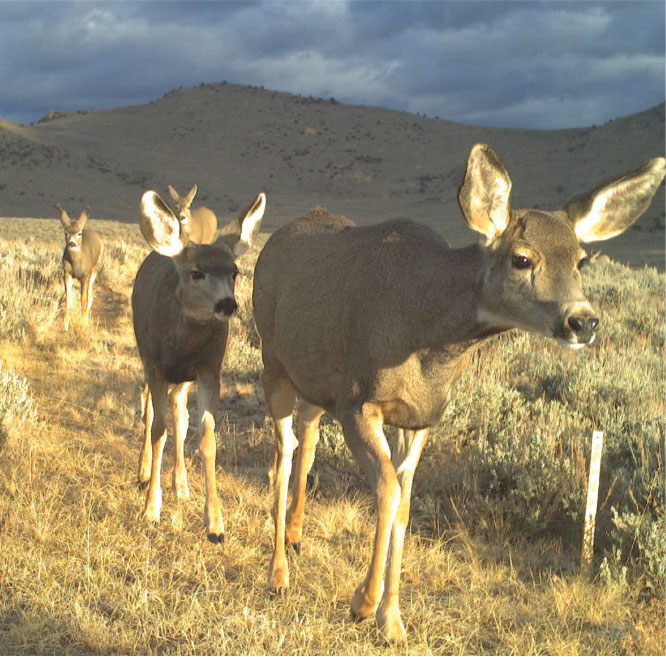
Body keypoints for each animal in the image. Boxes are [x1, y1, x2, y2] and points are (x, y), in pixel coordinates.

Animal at [56, 202, 103, 330]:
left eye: (79, 233)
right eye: (66, 232)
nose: (72, 243)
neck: (77, 265)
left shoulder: (85, 275)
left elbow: (83, 298)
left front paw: (82, 324)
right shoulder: (66, 273)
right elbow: (68, 298)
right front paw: (65, 325)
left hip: (95, 269)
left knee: (90, 294)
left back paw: (86, 319)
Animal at [132, 187, 264, 540]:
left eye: (234, 271)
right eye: (196, 272)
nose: (227, 304)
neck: (182, 347)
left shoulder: (208, 370)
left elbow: (206, 437)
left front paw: (215, 523)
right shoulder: (157, 366)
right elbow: (158, 429)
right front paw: (151, 509)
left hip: (184, 380)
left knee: (179, 415)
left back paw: (180, 484)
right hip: (145, 358)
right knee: (150, 410)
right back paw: (144, 472)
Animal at [252, 145, 660, 640]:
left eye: (582, 260)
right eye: (522, 259)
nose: (583, 321)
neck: (427, 332)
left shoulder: (422, 416)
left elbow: (406, 503)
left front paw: (393, 620)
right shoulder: (358, 402)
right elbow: (387, 490)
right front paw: (362, 603)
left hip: (313, 380)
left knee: (306, 441)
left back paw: (296, 536)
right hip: (273, 361)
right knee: (282, 455)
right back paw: (277, 574)